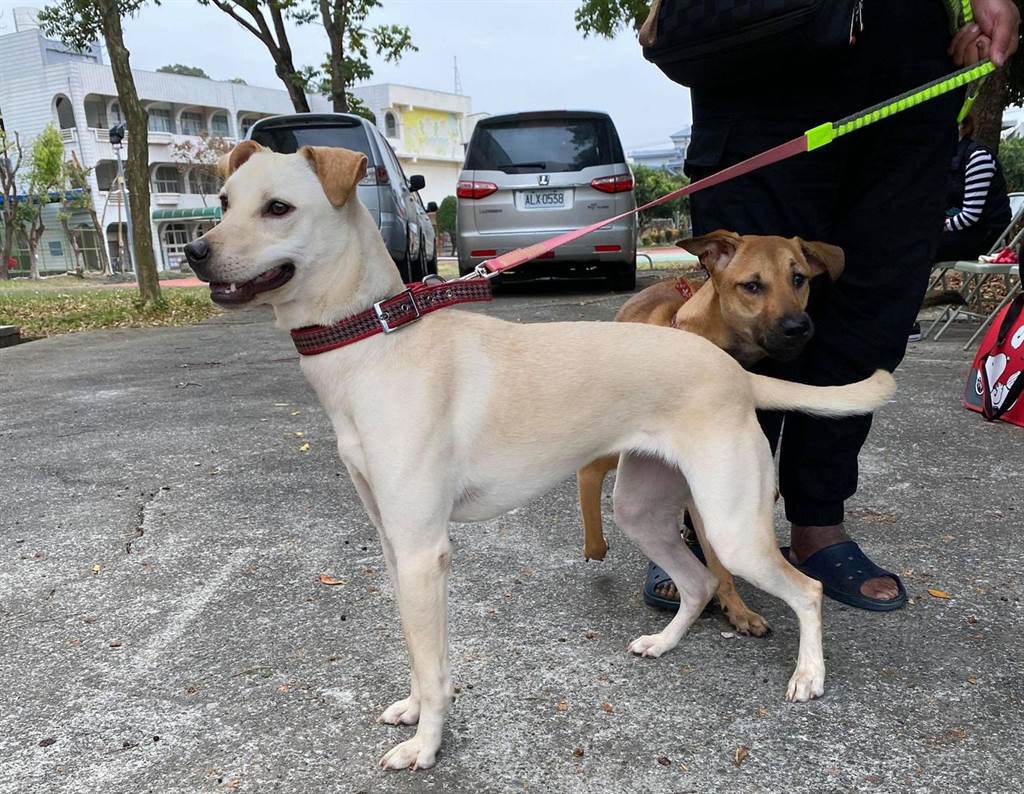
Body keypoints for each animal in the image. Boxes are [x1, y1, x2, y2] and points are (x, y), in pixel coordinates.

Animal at [581, 228, 843, 635]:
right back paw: (595, 545)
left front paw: (736, 608)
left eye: (798, 278)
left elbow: (718, 560)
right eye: (752, 285)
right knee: (589, 469)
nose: (798, 327)